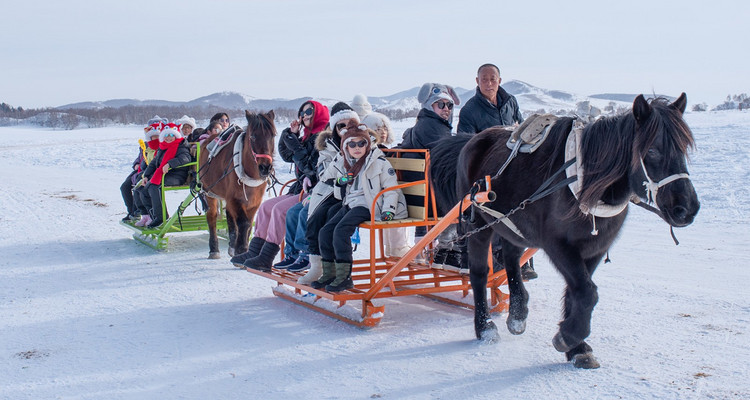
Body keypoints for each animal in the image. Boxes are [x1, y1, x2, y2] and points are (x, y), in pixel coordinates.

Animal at [200, 109, 280, 260]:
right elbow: (244, 222)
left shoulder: (254, 201)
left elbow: (248, 223)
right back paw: (214, 249)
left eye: (273, 135)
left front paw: (241, 248)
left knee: (229, 216)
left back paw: (232, 244)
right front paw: (241, 250)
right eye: (253, 136)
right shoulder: (235, 199)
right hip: (209, 191)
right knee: (212, 217)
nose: (265, 168)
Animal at [432, 94, 704, 368]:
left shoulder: (595, 247)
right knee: (479, 273)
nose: (687, 208)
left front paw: (577, 348)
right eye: (652, 150)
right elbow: (587, 292)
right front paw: (568, 337)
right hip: (477, 223)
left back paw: (518, 312)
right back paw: (485, 327)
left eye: (684, 148)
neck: (585, 183)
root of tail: (472, 139)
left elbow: (578, 293)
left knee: (511, 256)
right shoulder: (558, 245)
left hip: (512, 221)